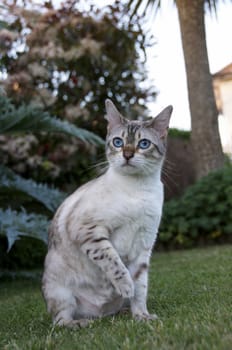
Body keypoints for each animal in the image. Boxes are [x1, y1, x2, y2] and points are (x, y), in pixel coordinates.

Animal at [41, 99, 172, 328]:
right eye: (118, 142)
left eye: (143, 144)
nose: (127, 155)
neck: (138, 190)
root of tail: (98, 314)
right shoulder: (88, 230)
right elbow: (113, 260)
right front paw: (125, 286)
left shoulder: (144, 244)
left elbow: (140, 287)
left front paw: (142, 317)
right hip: (60, 292)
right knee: (60, 320)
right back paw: (80, 323)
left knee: (109, 311)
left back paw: (123, 313)